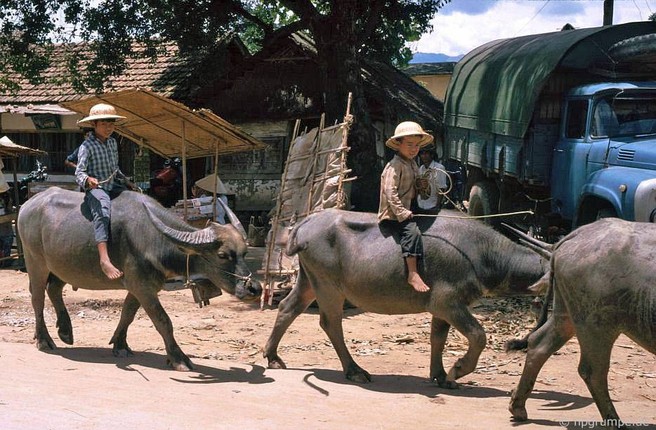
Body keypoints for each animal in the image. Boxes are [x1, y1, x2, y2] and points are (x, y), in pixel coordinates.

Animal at [18, 186, 258, 372]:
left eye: (245, 252)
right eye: (222, 255)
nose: (253, 289)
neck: (152, 238)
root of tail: (26, 206)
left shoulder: (139, 286)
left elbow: (128, 314)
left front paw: (120, 345)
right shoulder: (142, 287)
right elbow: (163, 320)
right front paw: (178, 358)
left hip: (63, 266)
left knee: (54, 289)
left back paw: (65, 331)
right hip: (36, 263)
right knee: (37, 298)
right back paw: (44, 340)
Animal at [262, 208, 544, 386]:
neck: (483, 252)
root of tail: (305, 223)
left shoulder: (442, 308)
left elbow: (437, 339)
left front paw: (440, 376)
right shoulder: (448, 303)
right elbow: (478, 335)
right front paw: (458, 370)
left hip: (309, 280)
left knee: (287, 307)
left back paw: (273, 356)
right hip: (328, 286)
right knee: (331, 323)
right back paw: (354, 371)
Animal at [508, 220, 656, 428]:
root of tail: (578, 233)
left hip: (567, 314)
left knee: (539, 343)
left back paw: (518, 406)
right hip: (596, 324)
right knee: (593, 371)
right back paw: (614, 421)